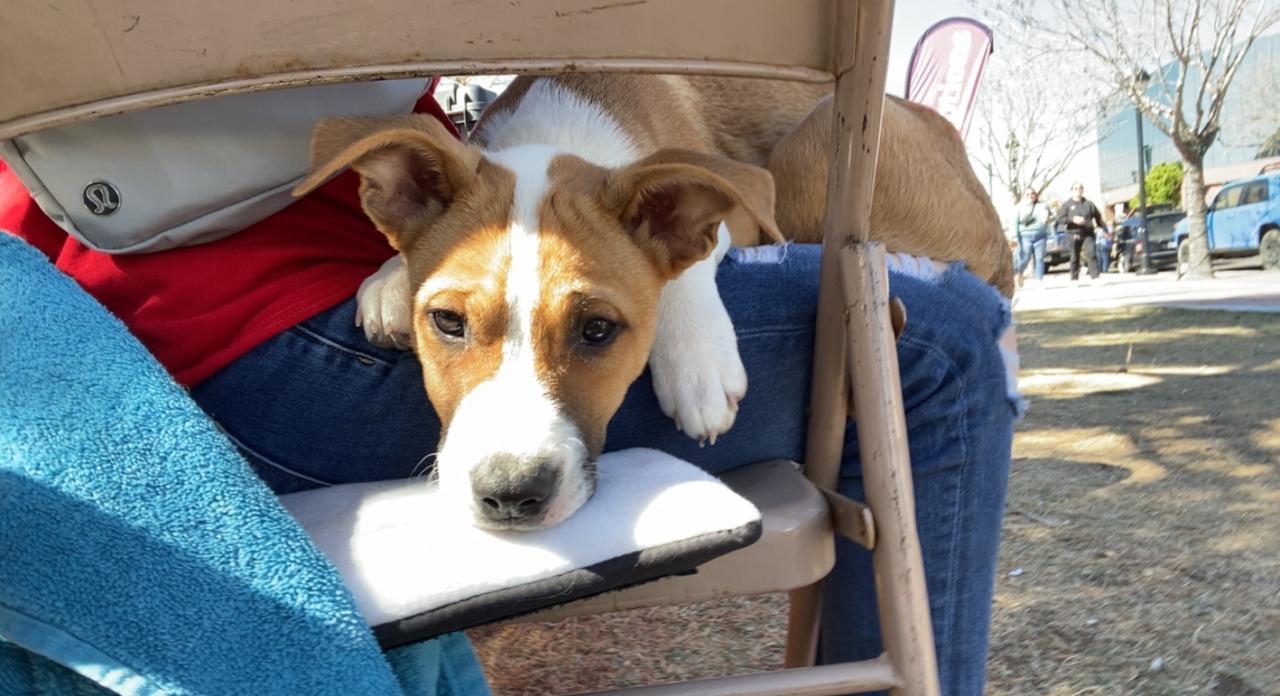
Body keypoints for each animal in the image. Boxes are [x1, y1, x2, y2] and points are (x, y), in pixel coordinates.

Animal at [294, 75, 1009, 530]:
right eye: (447, 321)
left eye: (597, 330)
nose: (510, 495)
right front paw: (390, 279)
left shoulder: (730, 211)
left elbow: (686, 256)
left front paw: (696, 365)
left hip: (815, 145)